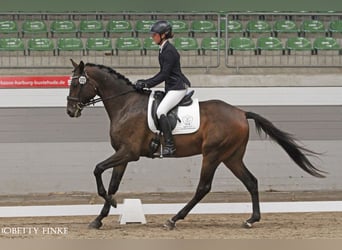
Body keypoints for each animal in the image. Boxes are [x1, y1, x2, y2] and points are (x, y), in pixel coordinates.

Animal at [67, 59, 326, 229]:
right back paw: (251, 219)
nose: (70, 111)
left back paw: (173, 219)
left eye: (77, 84)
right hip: (231, 156)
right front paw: (99, 219)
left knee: (203, 187)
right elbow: (112, 184)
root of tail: (241, 113)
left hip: (213, 154)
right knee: (251, 181)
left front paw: (110, 205)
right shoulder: (122, 154)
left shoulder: (129, 153)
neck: (126, 104)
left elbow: (98, 170)